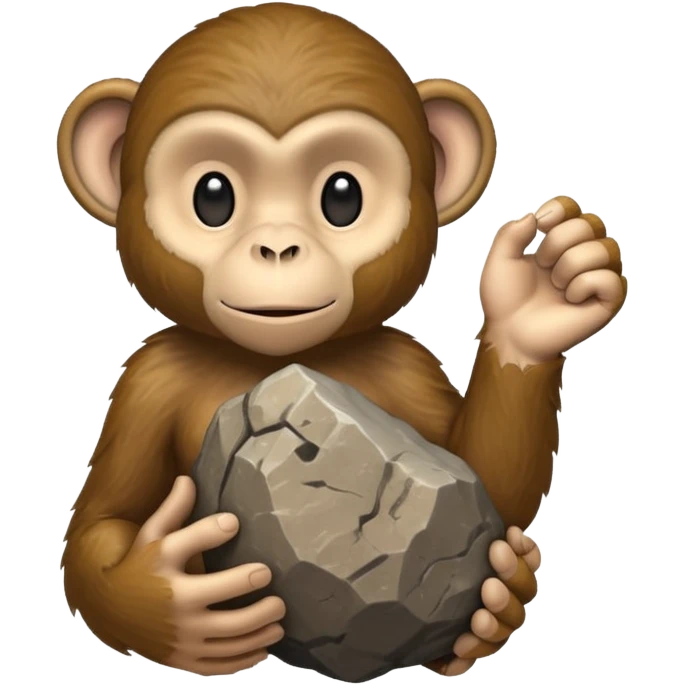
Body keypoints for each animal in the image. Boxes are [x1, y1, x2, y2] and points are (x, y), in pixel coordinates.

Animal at [56, 3, 627, 679]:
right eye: (212, 197)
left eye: (342, 196)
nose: (278, 246)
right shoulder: (148, 379)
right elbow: (103, 521)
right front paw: (174, 599)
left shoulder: (406, 364)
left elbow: (488, 477)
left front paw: (540, 297)